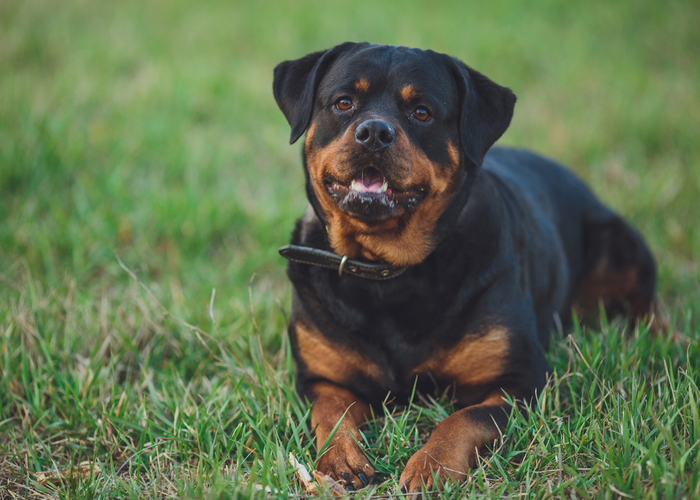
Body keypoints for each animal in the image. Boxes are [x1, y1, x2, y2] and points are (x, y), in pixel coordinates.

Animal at [272, 42, 656, 492]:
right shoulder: (320, 378)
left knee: (648, 301)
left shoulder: (522, 380)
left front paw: (431, 465)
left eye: (422, 112)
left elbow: (464, 418)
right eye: (344, 103)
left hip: (620, 243)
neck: (386, 270)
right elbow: (331, 411)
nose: (374, 132)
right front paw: (339, 461)